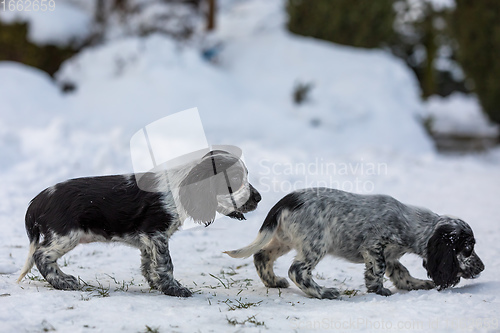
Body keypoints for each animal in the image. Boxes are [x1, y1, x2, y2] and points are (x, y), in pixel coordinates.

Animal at [18, 150, 262, 296]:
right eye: (236, 179)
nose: (258, 198)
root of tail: (37, 201)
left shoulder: (148, 240)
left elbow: (149, 263)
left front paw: (156, 283)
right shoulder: (156, 232)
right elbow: (165, 264)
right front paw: (174, 288)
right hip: (66, 235)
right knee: (41, 255)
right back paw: (62, 282)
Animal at [227, 187, 484, 298]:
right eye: (468, 249)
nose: (482, 267)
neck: (409, 222)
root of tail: (286, 201)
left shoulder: (391, 256)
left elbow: (401, 273)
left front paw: (417, 284)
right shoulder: (375, 246)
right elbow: (378, 269)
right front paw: (377, 289)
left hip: (283, 239)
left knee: (261, 255)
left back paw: (273, 282)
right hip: (316, 243)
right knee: (297, 271)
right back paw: (323, 292)